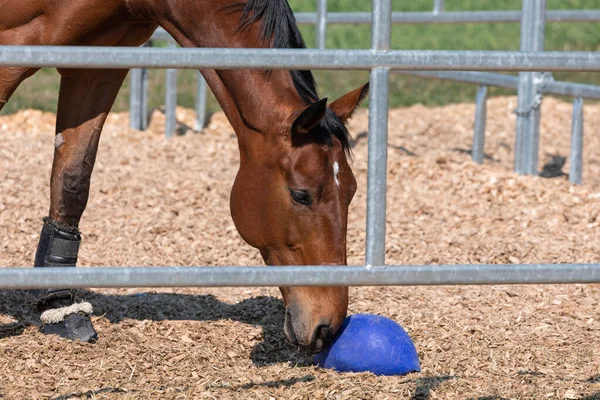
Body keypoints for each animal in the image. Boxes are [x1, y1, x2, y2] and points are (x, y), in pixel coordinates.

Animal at [0, 0, 368, 354]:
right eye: (300, 194)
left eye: (351, 192)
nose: (328, 327)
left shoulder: (97, 65)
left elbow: (72, 177)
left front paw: (60, 309)